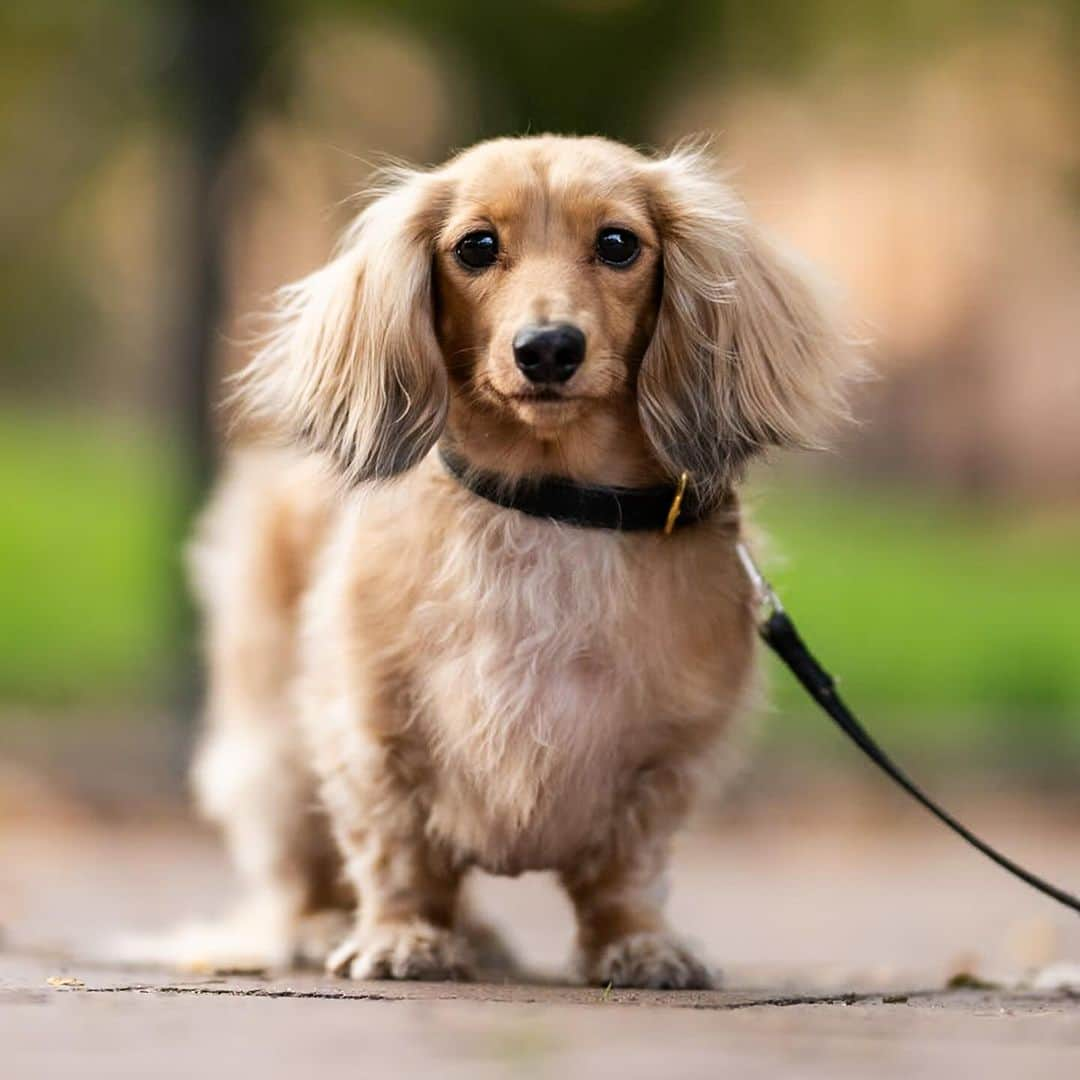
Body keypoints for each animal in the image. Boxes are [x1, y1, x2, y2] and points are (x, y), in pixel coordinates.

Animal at [185, 135, 851, 989]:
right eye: (476, 246)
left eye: (618, 243)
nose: (548, 349)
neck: (550, 501)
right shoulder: (369, 731)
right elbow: (394, 849)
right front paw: (400, 937)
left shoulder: (664, 759)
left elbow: (629, 870)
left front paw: (638, 944)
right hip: (274, 749)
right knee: (303, 865)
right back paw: (326, 925)